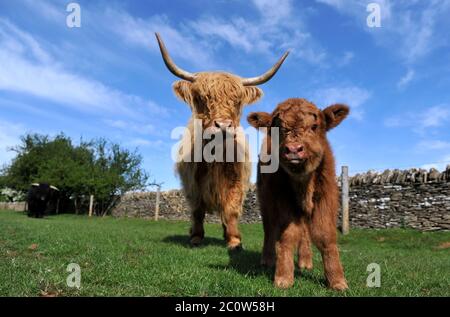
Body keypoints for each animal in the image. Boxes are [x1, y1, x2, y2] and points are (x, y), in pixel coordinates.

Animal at [155, 32, 288, 249]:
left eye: (238, 101)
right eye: (201, 98)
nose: (224, 125)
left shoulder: (235, 181)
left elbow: (231, 210)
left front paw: (234, 240)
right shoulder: (193, 183)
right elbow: (197, 210)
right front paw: (196, 236)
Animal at [248, 98, 350, 288]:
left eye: (314, 126)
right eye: (279, 128)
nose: (294, 149)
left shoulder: (326, 197)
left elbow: (325, 235)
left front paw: (337, 281)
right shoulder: (281, 200)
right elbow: (287, 236)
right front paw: (283, 277)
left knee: (304, 231)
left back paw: (305, 261)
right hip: (265, 200)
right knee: (269, 229)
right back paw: (268, 260)